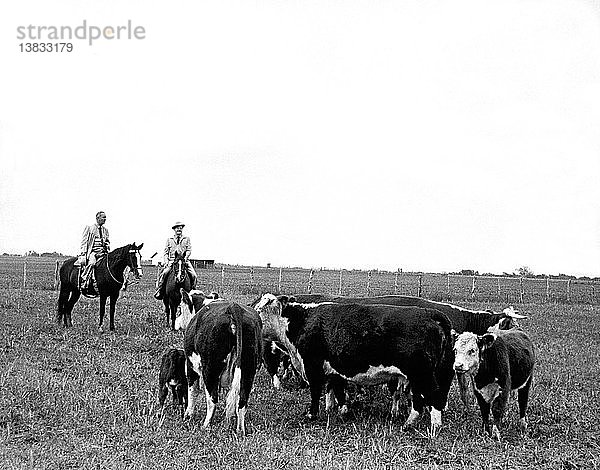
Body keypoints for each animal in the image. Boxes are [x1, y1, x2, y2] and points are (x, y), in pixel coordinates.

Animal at [179, 292, 262, 436]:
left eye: (180, 308)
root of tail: (234, 307)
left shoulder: (190, 365)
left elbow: (192, 390)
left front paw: (188, 415)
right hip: (248, 368)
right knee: (242, 400)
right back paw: (240, 430)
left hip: (210, 368)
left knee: (212, 398)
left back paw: (205, 426)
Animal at [253, 294, 454, 436]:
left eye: (260, 309)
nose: (252, 317)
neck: (302, 320)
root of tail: (429, 313)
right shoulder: (335, 369)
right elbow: (339, 391)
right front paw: (343, 412)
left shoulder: (312, 366)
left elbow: (316, 392)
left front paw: (311, 415)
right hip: (416, 376)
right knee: (419, 399)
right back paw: (408, 424)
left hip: (422, 374)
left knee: (434, 396)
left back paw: (435, 427)